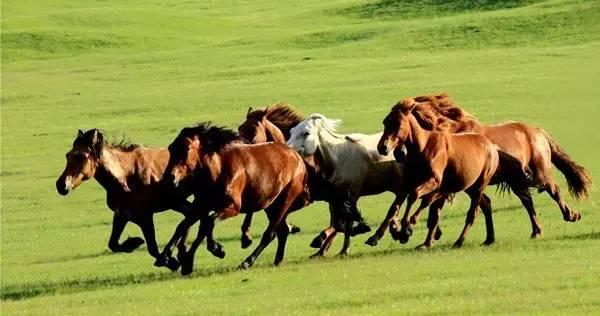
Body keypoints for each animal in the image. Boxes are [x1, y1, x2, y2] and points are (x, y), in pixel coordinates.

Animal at [55, 128, 225, 270]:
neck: (125, 177)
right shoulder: (122, 215)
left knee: (199, 218)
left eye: (82, 157)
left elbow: (152, 248)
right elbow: (113, 244)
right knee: (196, 217)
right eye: (68, 155)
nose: (61, 185)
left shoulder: (145, 216)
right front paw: (135, 243)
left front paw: (169, 261)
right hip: (179, 202)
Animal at [162, 122, 312, 276]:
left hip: (285, 200)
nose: (169, 177)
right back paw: (277, 260)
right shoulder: (201, 205)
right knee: (282, 231)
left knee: (270, 234)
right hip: (270, 205)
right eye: (171, 148)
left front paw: (211, 251)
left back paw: (247, 262)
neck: (218, 169)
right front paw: (167, 257)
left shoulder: (233, 207)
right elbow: (184, 225)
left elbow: (208, 223)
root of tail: (298, 158)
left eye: (186, 148)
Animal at [286, 113, 408, 254]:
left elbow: (344, 223)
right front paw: (328, 250)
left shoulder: (350, 196)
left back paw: (377, 237)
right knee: (396, 206)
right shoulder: (336, 199)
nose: (287, 148)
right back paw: (395, 230)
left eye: (306, 133)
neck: (338, 159)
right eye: (291, 131)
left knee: (393, 208)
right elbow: (338, 222)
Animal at [380, 101, 528, 249]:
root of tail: (492, 147)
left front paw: (406, 228)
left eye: (398, 123)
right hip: (470, 186)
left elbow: (415, 196)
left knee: (472, 214)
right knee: (485, 203)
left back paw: (459, 241)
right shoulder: (410, 182)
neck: (424, 147)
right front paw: (397, 231)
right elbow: (399, 205)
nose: (383, 147)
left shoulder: (434, 181)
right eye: (385, 121)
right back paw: (489, 239)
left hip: (480, 185)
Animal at [408, 94, 592, 237]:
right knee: (528, 201)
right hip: (517, 181)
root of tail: (538, 132)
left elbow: (434, 205)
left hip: (539, 174)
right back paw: (536, 231)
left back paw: (571, 215)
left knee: (553, 190)